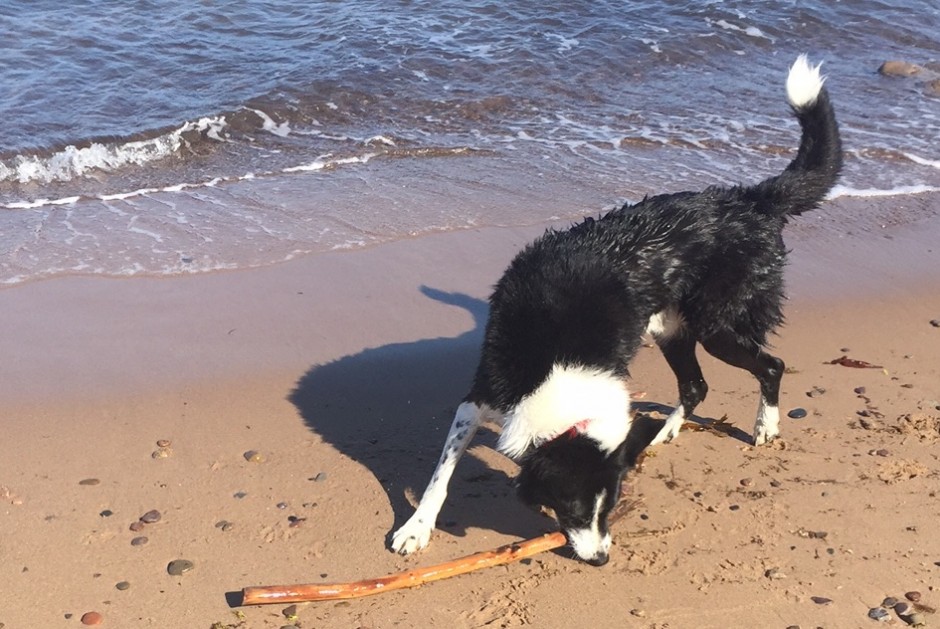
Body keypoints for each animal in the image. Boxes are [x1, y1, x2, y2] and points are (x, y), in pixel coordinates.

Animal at [390, 55, 842, 566]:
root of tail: (751, 199)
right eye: (572, 506)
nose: (601, 559)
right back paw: (665, 432)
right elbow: (441, 472)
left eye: (611, 504)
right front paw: (416, 528)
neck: (558, 363)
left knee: (770, 364)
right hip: (671, 328)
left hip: (717, 326)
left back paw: (765, 426)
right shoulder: (483, 393)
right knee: (697, 383)